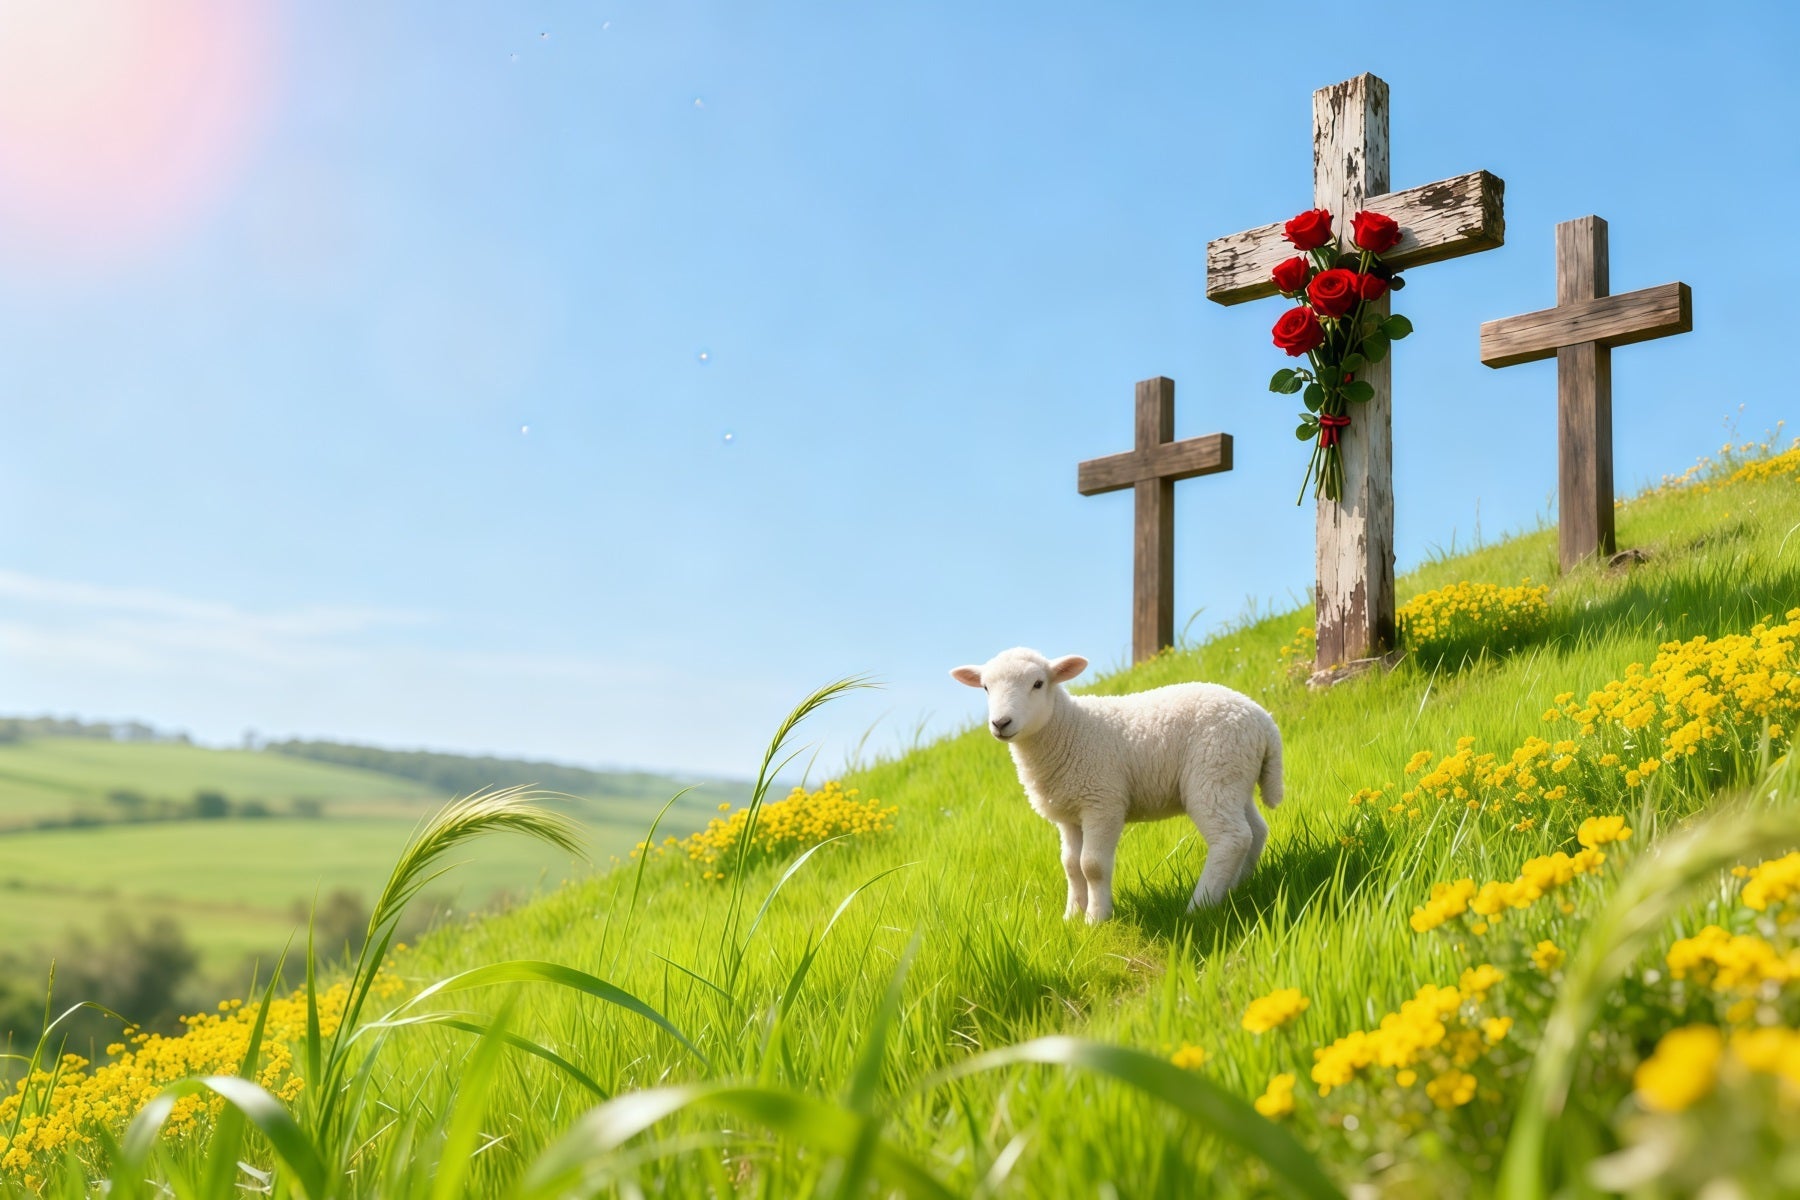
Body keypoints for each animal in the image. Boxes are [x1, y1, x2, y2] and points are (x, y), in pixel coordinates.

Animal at [950, 647, 1283, 923]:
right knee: (1255, 831)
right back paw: (1238, 886)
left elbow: (1092, 865)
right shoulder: (1069, 814)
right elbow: (1071, 866)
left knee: (1232, 838)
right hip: (1234, 778)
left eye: (1038, 684)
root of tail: (1263, 720)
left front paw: (1096, 919)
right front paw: (1071, 916)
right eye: (985, 688)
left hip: (1213, 771)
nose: (1000, 723)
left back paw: (1200, 906)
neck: (1068, 729)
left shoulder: (1102, 801)